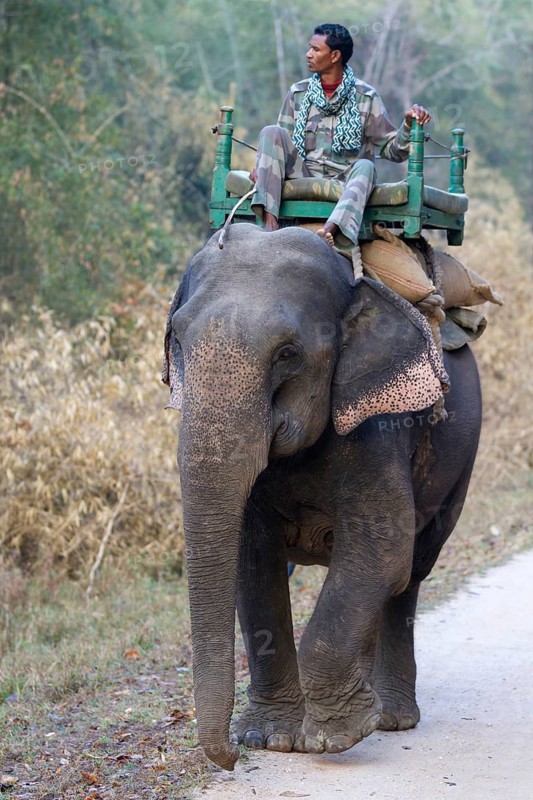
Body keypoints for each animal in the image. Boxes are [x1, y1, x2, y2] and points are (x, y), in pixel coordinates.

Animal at [163, 223, 481, 771]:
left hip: (460, 464)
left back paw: (390, 717)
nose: (229, 758)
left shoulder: (379, 425)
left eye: (287, 354)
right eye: (177, 340)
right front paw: (268, 738)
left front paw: (336, 736)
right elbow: (253, 558)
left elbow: (383, 547)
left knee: (412, 570)